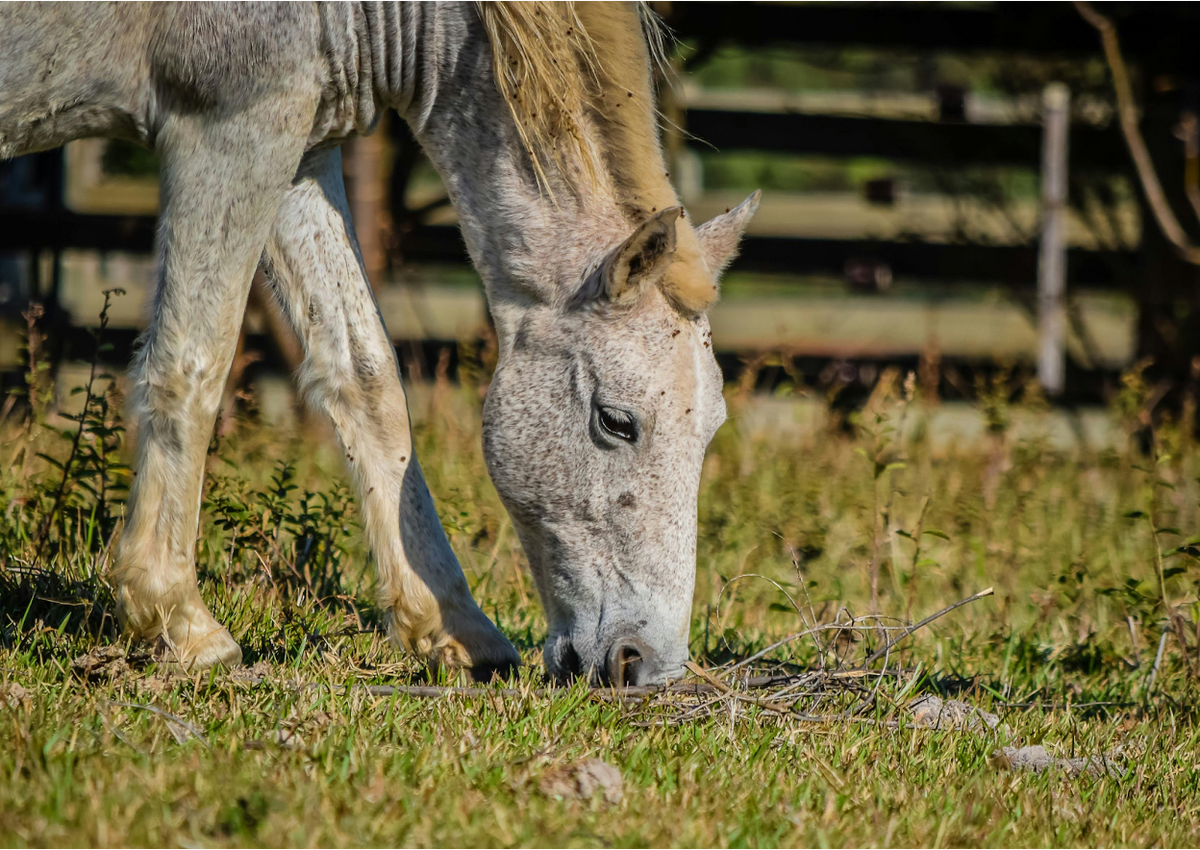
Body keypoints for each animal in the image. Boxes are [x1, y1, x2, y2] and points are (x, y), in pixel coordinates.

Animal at [0, 0, 758, 685]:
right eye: (617, 422)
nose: (648, 665)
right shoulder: (229, 128)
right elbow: (194, 362)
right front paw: (179, 620)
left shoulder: (299, 148)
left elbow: (367, 377)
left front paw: (455, 627)